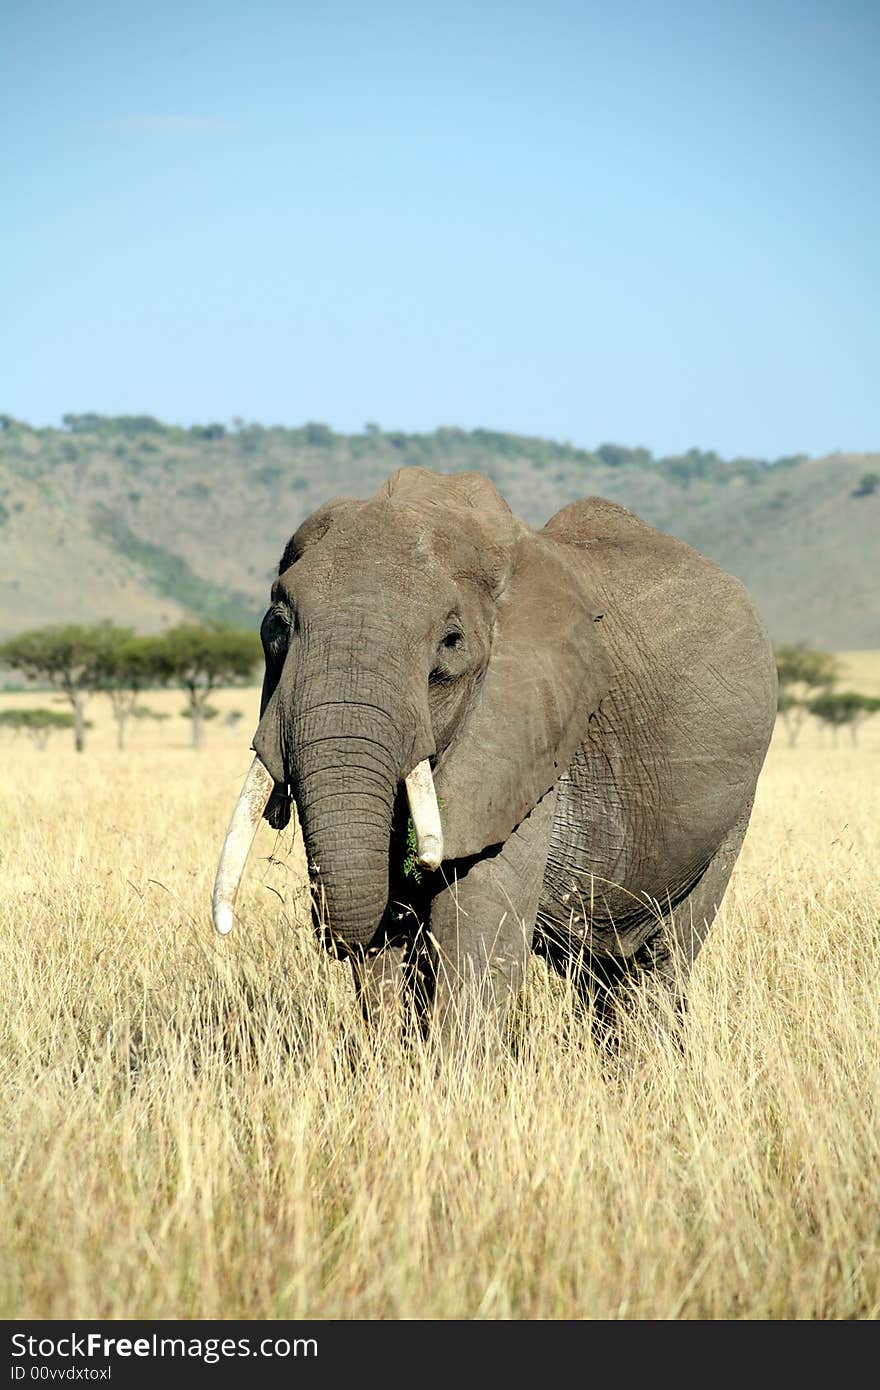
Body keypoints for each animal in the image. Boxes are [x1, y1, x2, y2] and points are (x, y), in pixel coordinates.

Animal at [212, 469, 772, 1045]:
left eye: (451, 643)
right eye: (276, 629)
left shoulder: (524, 736)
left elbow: (478, 927)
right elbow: (390, 943)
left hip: (733, 811)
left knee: (663, 960)